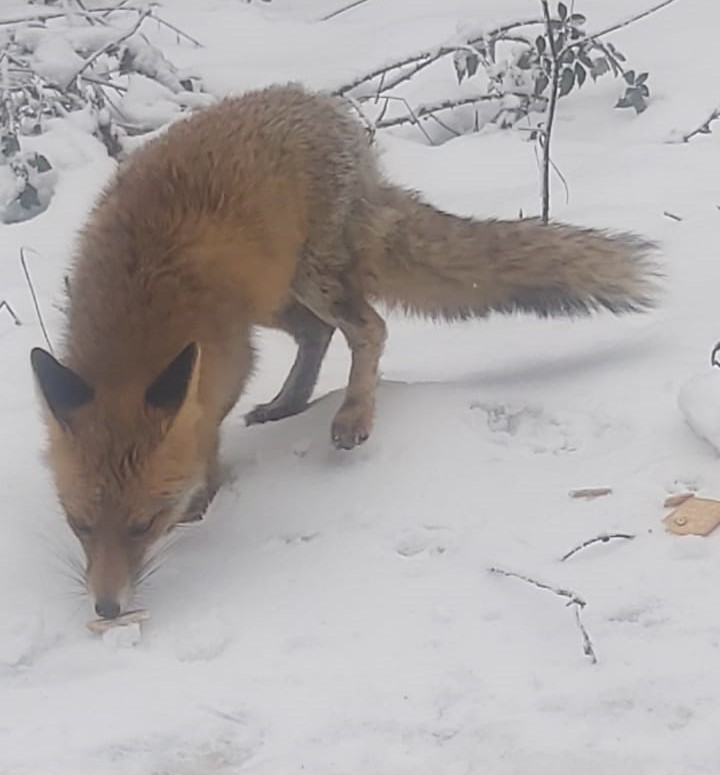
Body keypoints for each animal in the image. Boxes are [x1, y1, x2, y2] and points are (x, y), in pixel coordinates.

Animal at [32, 82, 664, 620]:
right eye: (79, 524)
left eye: (143, 525)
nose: (107, 608)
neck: (132, 322)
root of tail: (332, 112)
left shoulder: (226, 363)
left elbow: (208, 435)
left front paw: (203, 500)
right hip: (278, 293)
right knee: (317, 335)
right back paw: (288, 405)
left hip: (312, 278)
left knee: (370, 329)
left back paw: (353, 415)